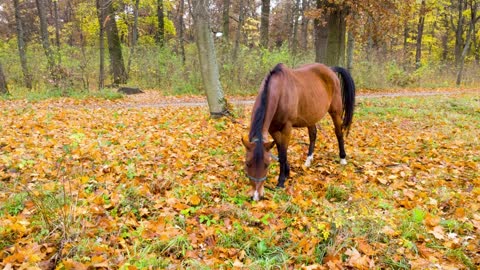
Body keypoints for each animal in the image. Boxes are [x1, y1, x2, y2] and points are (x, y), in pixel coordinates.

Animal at [242, 61, 354, 200]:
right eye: (247, 164)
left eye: (267, 164)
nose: (256, 196)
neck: (280, 92)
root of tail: (330, 70)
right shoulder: (273, 129)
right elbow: (280, 150)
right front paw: (287, 172)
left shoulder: (287, 128)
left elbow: (283, 154)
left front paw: (281, 181)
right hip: (311, 116)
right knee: (313, 134)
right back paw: (308, 160)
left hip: (336, 111)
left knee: (338, 133)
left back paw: (342, 158)